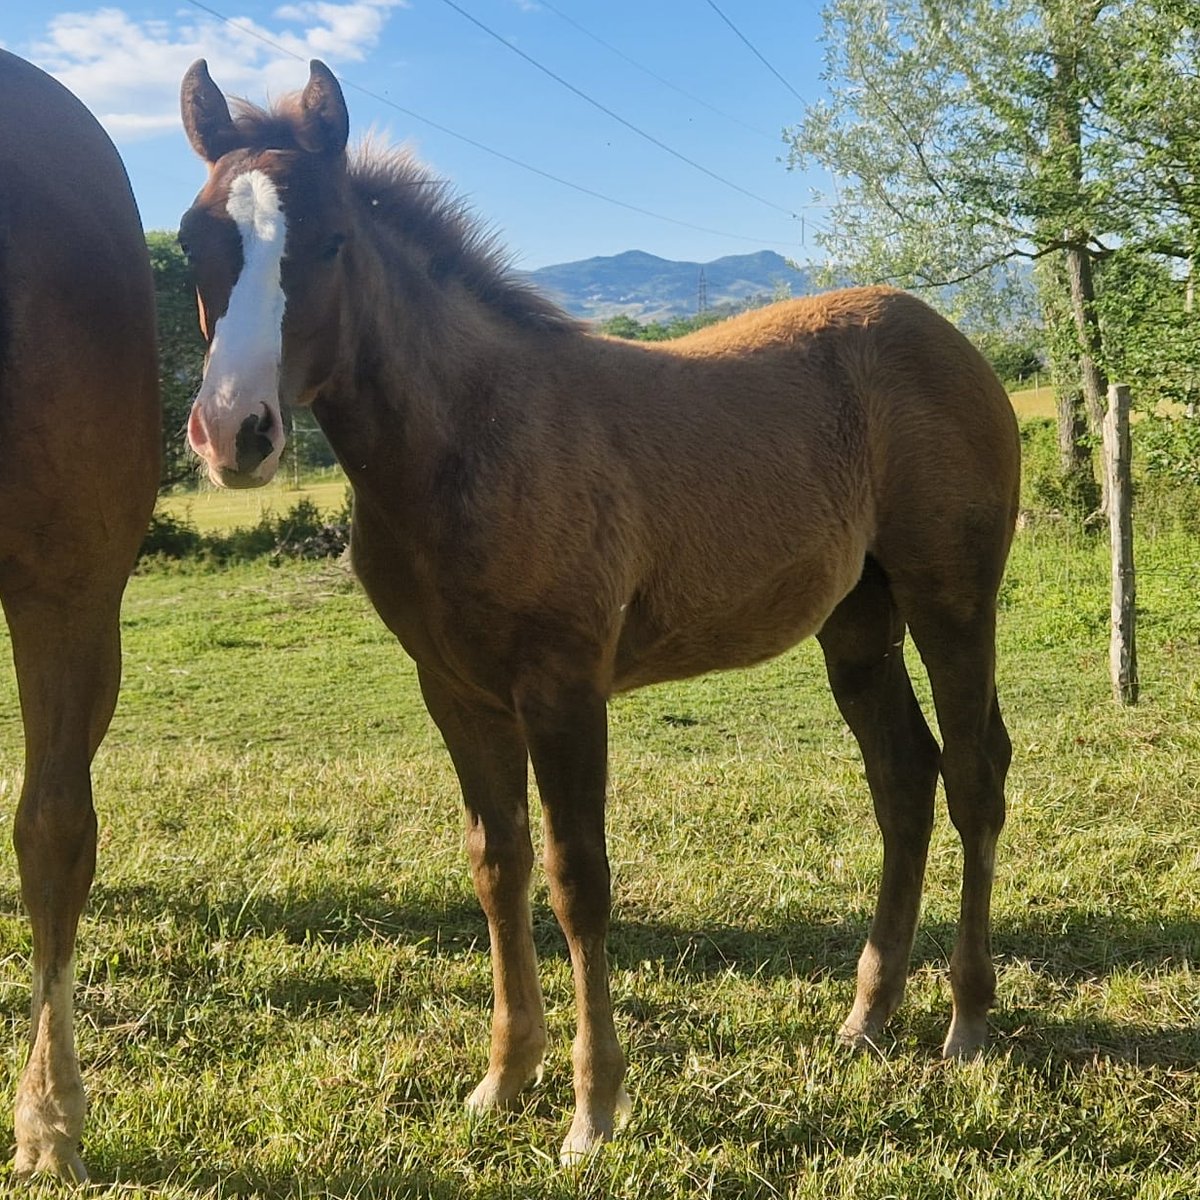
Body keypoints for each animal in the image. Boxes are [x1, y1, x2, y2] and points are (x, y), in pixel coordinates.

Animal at [179, 59, 1020, 1161]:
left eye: (329, 241)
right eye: (193, 240)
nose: (235, 431)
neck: (468, 440)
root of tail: (954, 338)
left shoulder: (565, 685)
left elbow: (579, 880)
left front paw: (593, 1108)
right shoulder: (455, 692)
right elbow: (497, 868)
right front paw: (502, 1080)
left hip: (950, 596)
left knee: (972, 772)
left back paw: (966, 1024)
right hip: (858, 622)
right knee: (904, 778)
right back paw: (867, 1017)